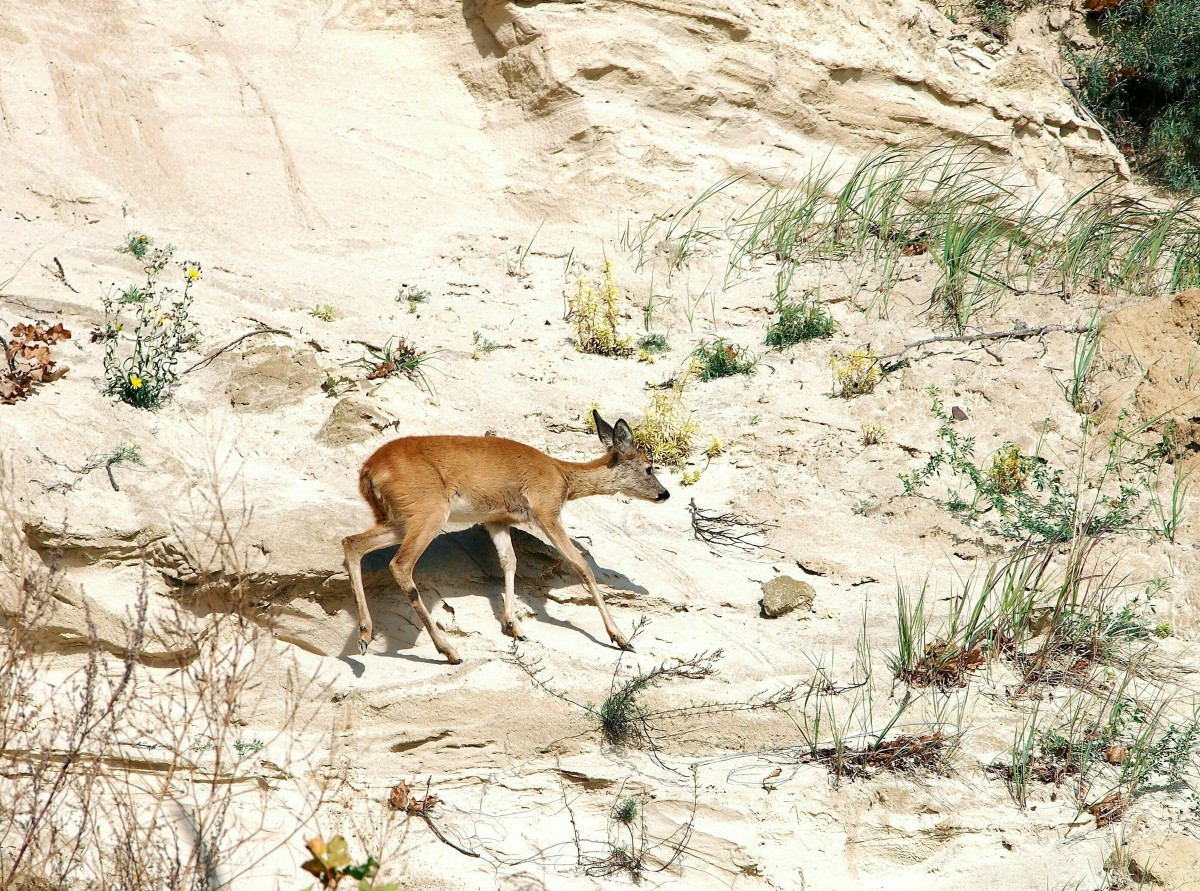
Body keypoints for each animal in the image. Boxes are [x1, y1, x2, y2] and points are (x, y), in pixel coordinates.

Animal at [343, 410, 672, 662]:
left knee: (352, 543)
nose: (664, 493)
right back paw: (449, 650)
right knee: (400, 564)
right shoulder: (546, 509)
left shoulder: (497, 519)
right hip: (430, 513)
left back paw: (364, 635)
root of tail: (368, 471)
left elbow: (509, 562)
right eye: (648, 467)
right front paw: (620, 637)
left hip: (400, 519)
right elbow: (581, 563)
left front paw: (514, 625)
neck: (562, 476)